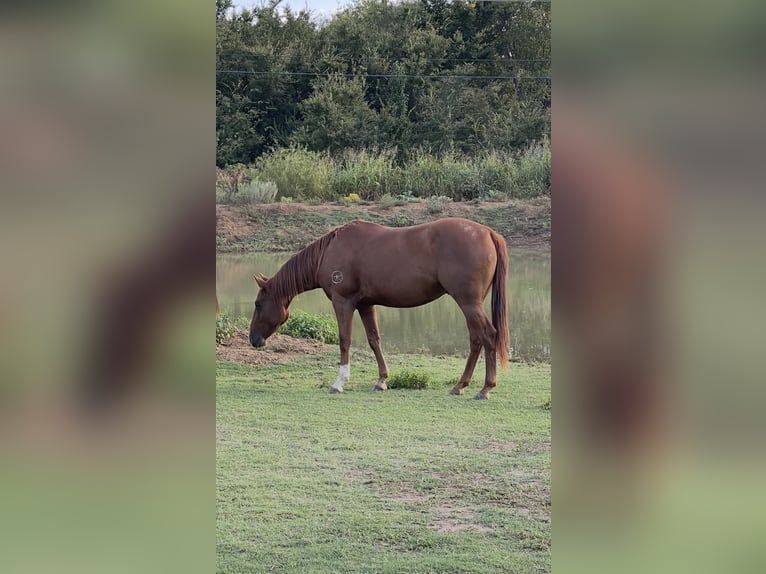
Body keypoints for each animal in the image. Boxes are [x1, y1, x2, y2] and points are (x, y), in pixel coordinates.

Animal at [249, 217, 510, 399]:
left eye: (258, 304)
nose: (253, 339)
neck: (330, 250)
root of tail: (488, 232)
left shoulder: (343, 302)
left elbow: (345, 340)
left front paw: (339, 383)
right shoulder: (366, 305)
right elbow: (374, 340)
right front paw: (382, 380)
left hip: (468, 303)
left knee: (488, 335)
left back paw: (485, 389)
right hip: (470, 304)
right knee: (476, 339)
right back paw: (460, 385)